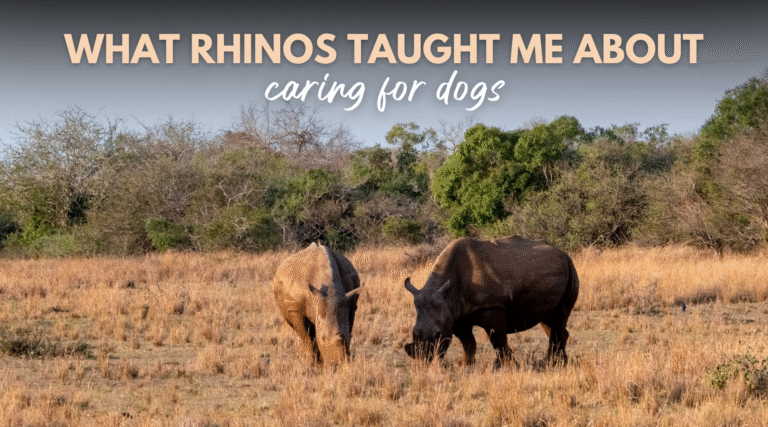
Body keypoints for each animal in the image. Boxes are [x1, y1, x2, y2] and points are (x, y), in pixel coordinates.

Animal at [404, 235, 579, 367]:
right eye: (413, 333)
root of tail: (563, 253)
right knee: (547, 320)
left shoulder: (492, 306)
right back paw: (554, 361)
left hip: (571, 267)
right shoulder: (455, 313)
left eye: (438, 334)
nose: (424, 360)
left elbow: (497, 338)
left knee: (560, 315)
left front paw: (508, 365)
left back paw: (554, 363)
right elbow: (467, 341)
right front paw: (465, 364)